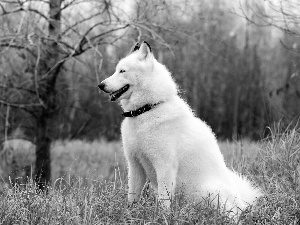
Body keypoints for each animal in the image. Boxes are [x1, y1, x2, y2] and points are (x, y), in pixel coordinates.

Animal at [99, 41, 262, 212]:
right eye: (116, 70)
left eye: (122, 71)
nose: (100, 85)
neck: (147, 109)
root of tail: (242, 203)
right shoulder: (135, 165)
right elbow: (132, 196)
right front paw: (129, 212)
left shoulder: (165, 166)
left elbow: (164, 200)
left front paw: (162, 216)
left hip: (209, 192)